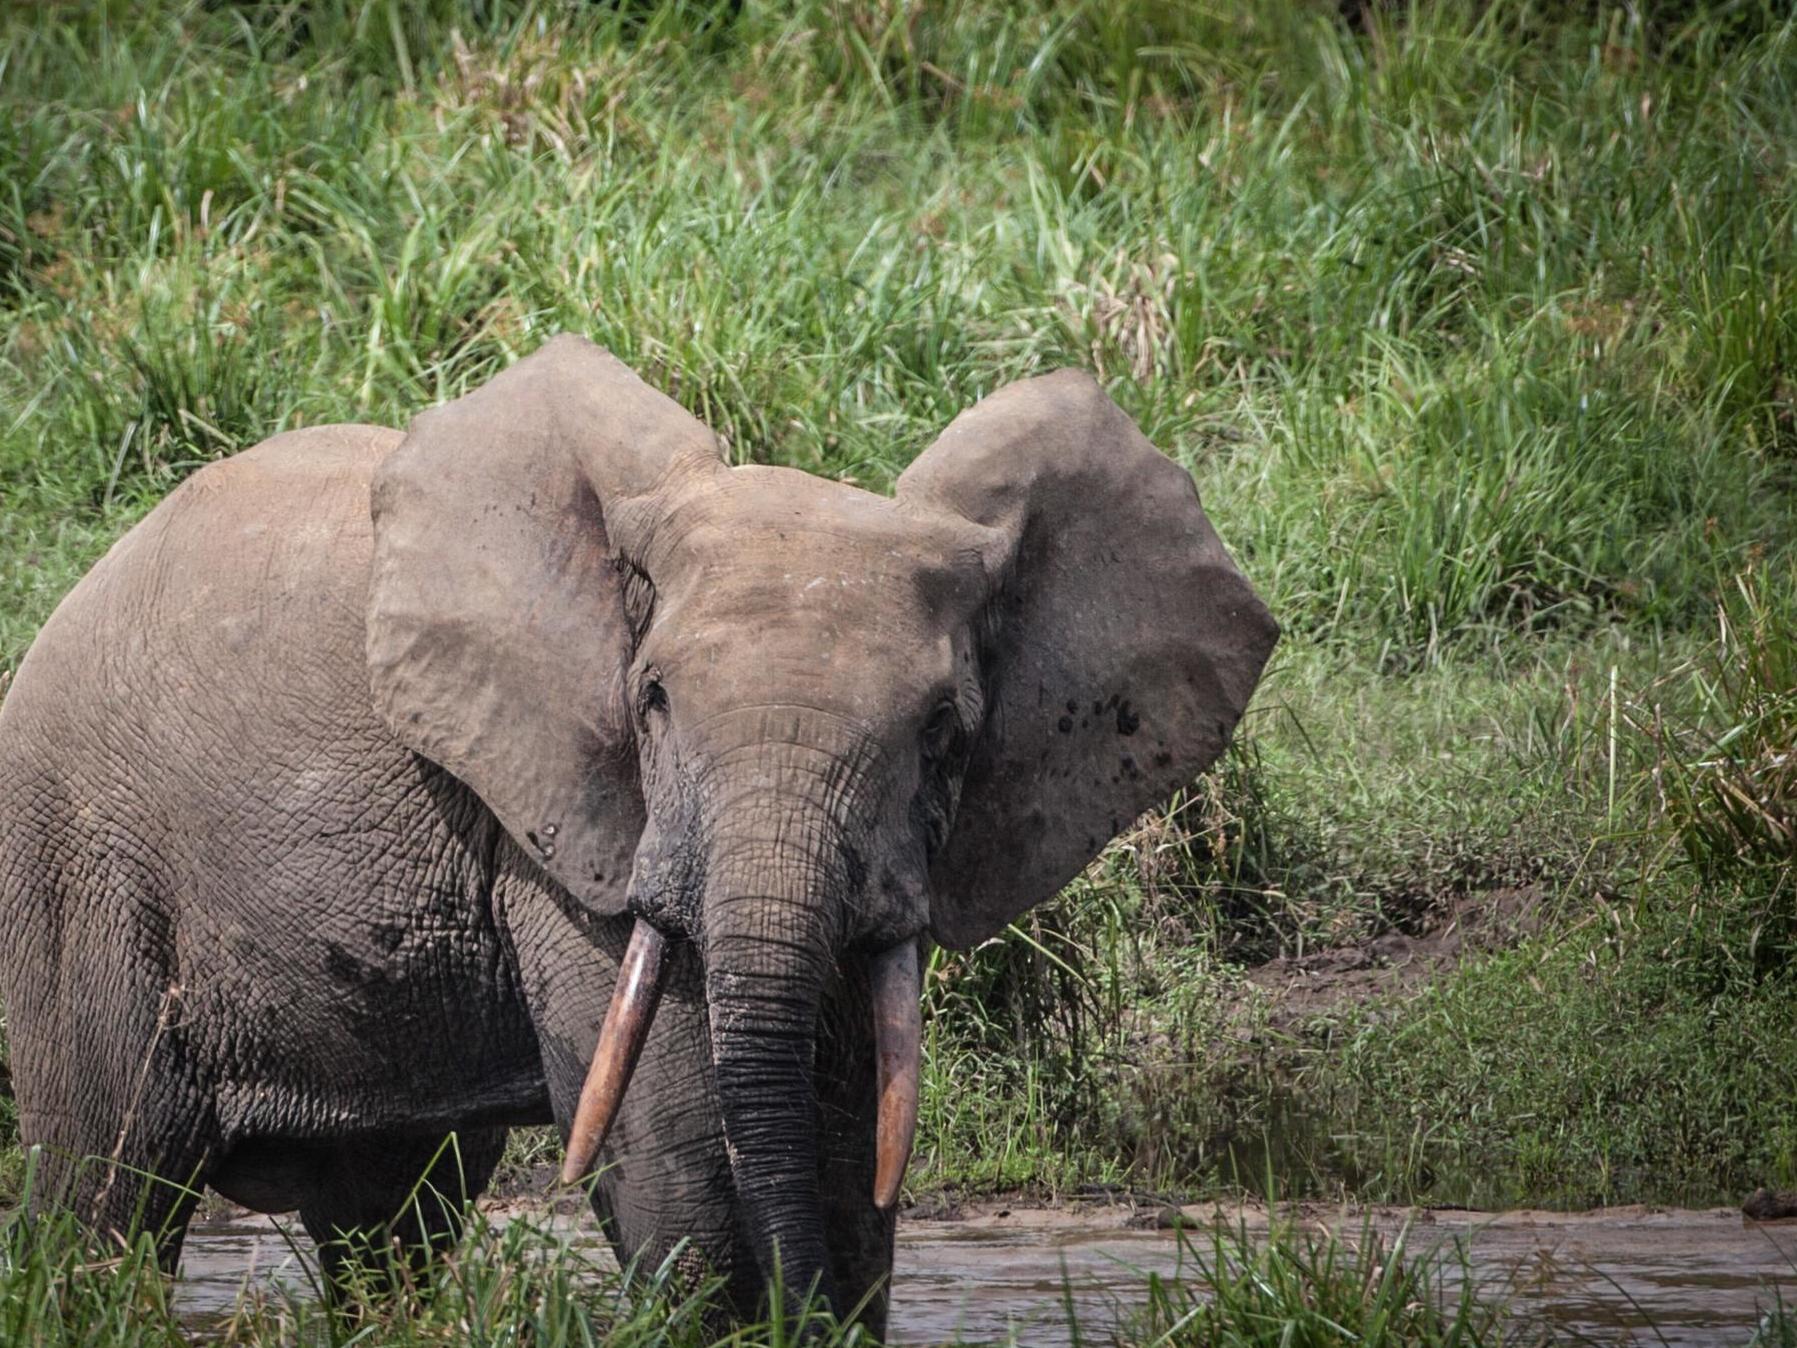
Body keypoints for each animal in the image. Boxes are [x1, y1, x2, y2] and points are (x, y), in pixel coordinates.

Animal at [0, 336, 1279, 1330]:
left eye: (945, 731)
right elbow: (671, 1140)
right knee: (108, 1194)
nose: (800, 1314)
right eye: (653, 698)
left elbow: (849, 1123)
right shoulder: (561, 825)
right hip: (75, 856)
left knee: (389, 1221)